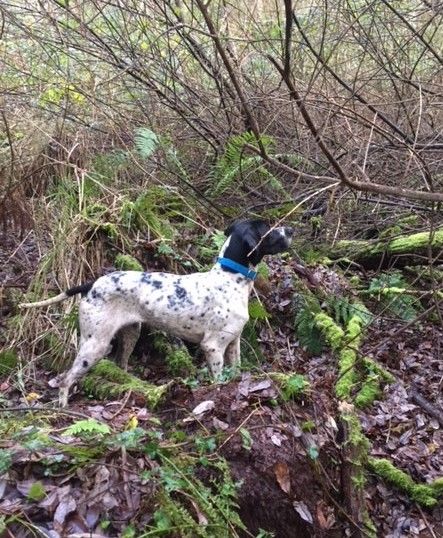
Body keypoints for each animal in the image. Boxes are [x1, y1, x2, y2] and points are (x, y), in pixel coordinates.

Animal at [19, 220, 294, 404]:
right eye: (269, 229)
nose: (291, 230)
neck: (230, 278)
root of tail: (92, 284)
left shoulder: (233, 343)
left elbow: (235, 372)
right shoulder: (213, 347)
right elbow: (218, 380)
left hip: (130, 335)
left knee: (120, 364)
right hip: (94, 345)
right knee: (65, 379)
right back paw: (63, 406)